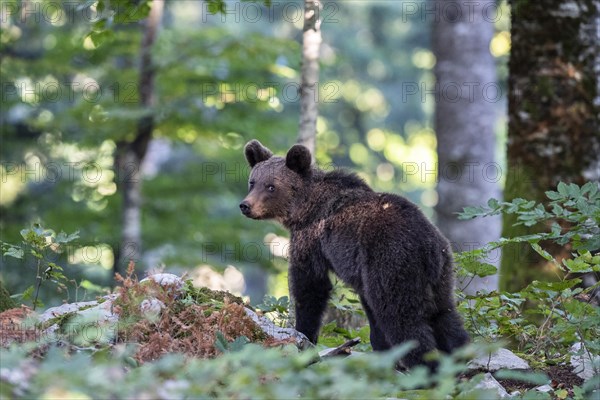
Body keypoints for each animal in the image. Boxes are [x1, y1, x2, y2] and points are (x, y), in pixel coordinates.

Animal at [239, 141, 468, 368]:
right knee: (445, 316)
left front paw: (304, 334)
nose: (245, 205)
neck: (303, 209)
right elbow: (369, 310)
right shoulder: (362, 274)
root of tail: (426, 244)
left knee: (402, 319)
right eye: (252, 182)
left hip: (393, 262)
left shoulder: (312, 240)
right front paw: (381, 349)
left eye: (271, 186)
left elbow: (310, 286)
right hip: (441, 273)